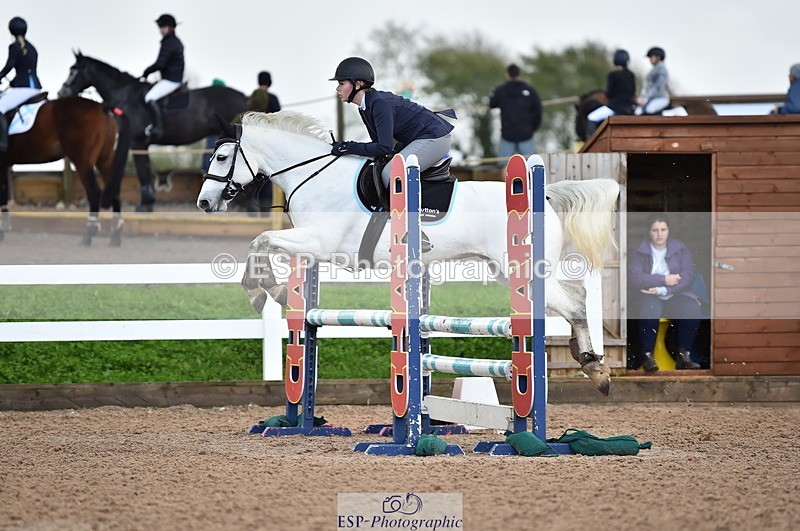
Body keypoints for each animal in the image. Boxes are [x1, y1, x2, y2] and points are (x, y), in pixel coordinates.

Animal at [0, 95, 131, 245]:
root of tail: (101, 106)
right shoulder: (4, 164)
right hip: (104, 159)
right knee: (114, 189)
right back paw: (115, 235)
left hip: (83, 161)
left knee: (94, 191)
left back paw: (89, 234)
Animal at [57, 52, 246, 212]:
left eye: (74, 71)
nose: (62, 92)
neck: (126, 95)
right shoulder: (142, 144)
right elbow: (146, 171)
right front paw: (148, 202)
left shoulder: (137, 142)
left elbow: (143, 173)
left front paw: (145, 205)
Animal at [196, 110, 621, 396]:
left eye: (221, 158)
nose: (204, 202)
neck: (315, 175)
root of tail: (543, 196)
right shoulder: (310, 245)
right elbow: (263, 245)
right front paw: (277, 291)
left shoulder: (320, 242)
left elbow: (261, 241)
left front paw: (266, 291)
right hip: (506, 271)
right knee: (575, 296)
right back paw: (589, 362)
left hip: (522, 269)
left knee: (575, 302)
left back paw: (596, 369)